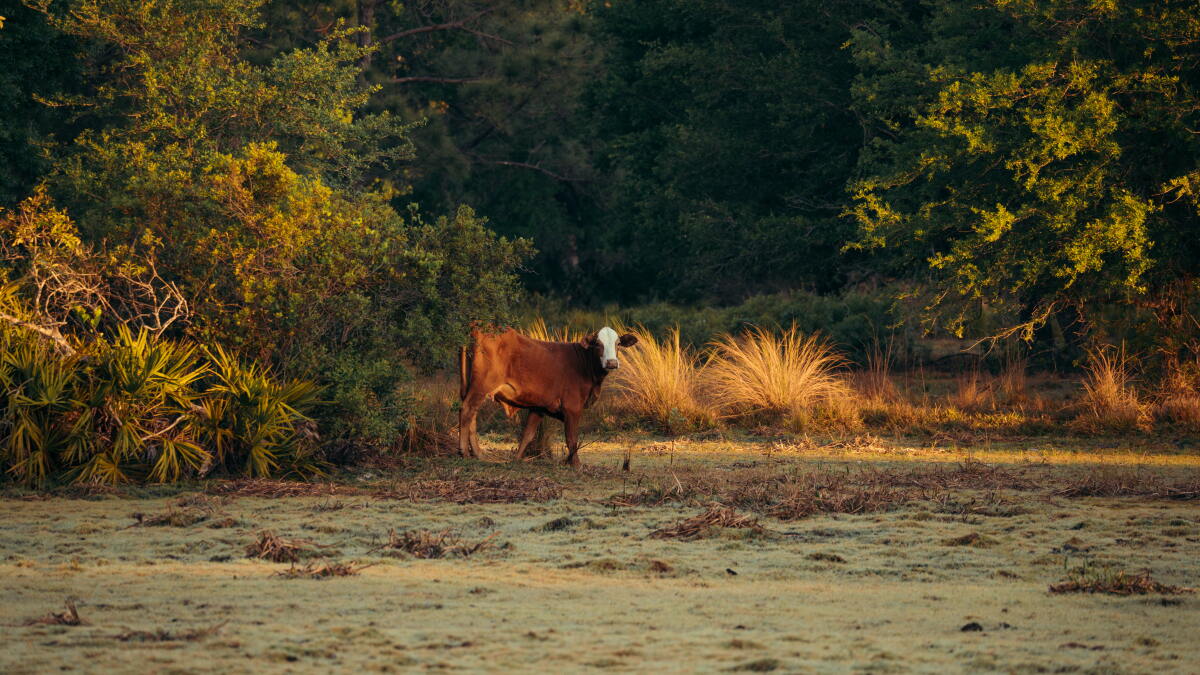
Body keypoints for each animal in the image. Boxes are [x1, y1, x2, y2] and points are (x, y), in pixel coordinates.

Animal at [457, 326, 638, 467]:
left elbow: (528, 435)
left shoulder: (539, 407)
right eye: (598, 344)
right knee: (467, 410)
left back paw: (478, 454)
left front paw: (517, 459)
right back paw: (464, 452)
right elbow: (571, 438)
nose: (612, 363)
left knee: (472, 415)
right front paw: (576, 465)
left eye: (618, 343)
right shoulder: (572, 408)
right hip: (481, 385)